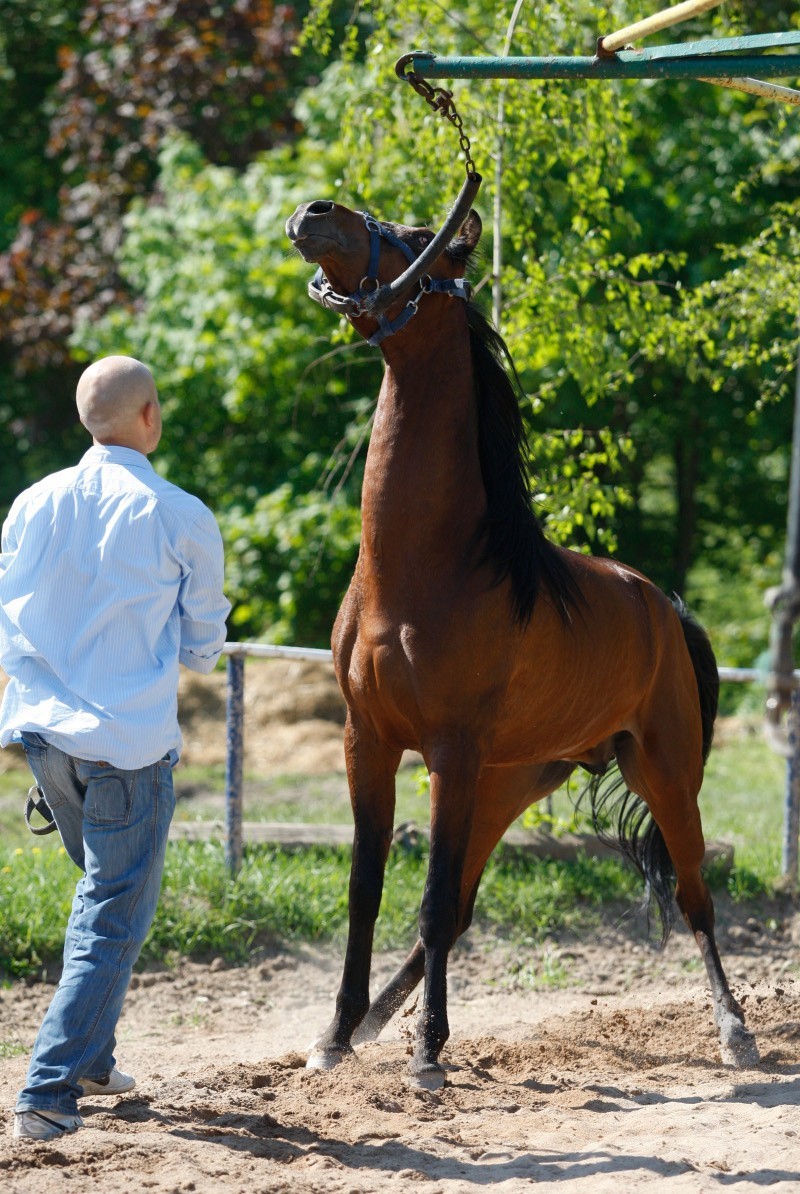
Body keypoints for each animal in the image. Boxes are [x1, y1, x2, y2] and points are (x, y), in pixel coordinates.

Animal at [286, 198, 759, 1093]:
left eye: (413, 238)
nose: (314, 213)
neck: (423, 569)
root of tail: (665, 610)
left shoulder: (448, 750)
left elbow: (429, 900)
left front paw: (428, 1057)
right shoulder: (368, 742)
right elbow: (369, 890)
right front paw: (335, 1035)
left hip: (661, 772)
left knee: (694, 897)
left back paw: (735, 1032)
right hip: (508, 782)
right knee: (464, 905)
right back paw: (377, 1021)